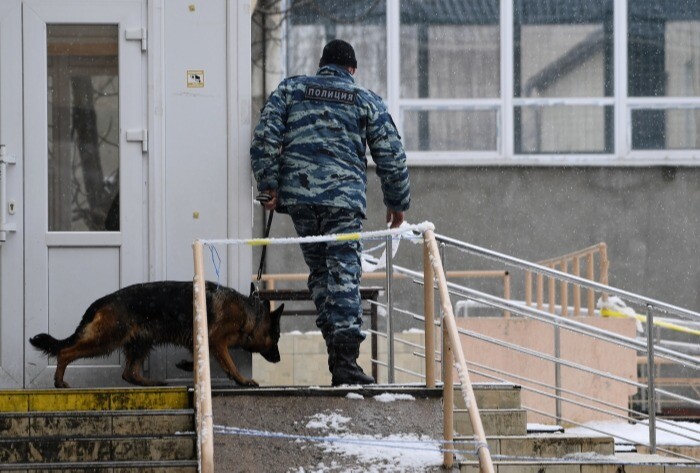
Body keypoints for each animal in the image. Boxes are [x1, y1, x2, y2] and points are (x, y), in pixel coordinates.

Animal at [29, 280, 282, 388]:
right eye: (278, 337)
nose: (279, 359)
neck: (250, 313)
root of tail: (103, 301)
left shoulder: (200, 342)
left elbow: (201, 360)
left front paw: (187, 365)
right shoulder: (217, 342)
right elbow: (229, 364)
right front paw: (243, 380)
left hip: (141, 342)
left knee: (129, 374)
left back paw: (152, 382)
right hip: (107, 340)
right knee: (65, 352)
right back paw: (58, 381)